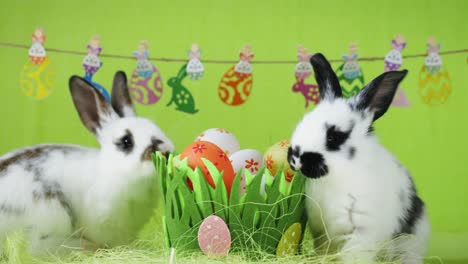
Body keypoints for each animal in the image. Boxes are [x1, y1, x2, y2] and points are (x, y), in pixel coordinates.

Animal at [288, 52, 432, 262]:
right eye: (302, 123)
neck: (337, 177)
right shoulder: (321, 233)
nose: (296, 158)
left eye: (333, 137)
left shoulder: (362, 232)